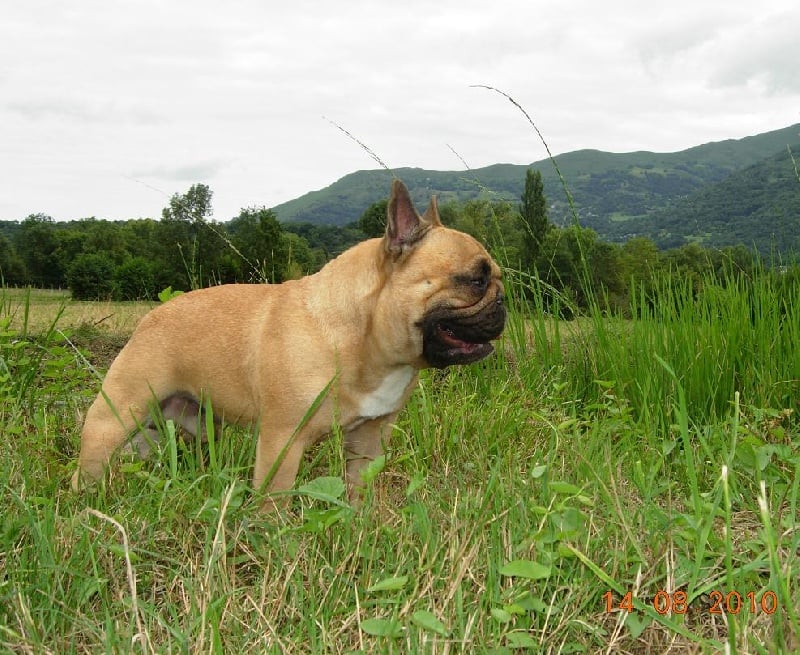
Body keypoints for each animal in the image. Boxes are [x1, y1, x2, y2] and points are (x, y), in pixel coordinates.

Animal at [72, 180, 506, 505]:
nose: (503, 300)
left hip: (167, 423)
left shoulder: (369, 438)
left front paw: (358, 521)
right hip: (115, 416)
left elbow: (358, 487)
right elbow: (274, 500)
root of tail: (150, 317)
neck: (361, 341)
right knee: (91, 465)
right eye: (475, 280)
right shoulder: (283, 440)